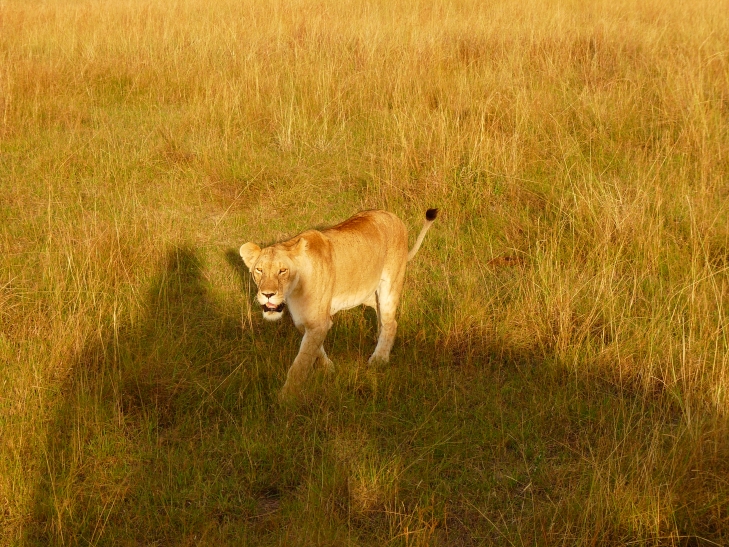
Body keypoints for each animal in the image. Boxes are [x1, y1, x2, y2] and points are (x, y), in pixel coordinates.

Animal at [239, 208, 438, 399]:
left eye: (282, 271)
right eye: (259, 270)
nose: (268, 294)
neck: (294, 290)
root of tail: (393, 216)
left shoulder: (318, 322)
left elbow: (301, 362)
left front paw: (286, 398)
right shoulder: (304, 321)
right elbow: (314, 349)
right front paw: (328, 368)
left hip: (390, 285)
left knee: (391, 322)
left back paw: (379, 359)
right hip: (368, 294)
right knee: (381, 316)